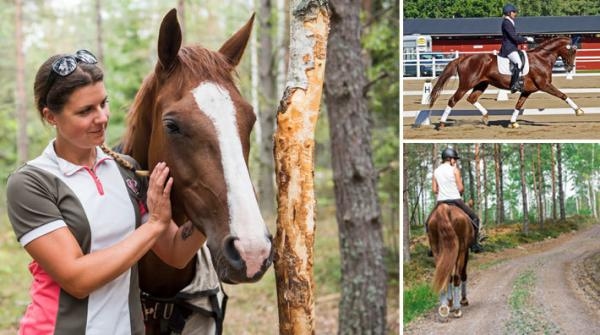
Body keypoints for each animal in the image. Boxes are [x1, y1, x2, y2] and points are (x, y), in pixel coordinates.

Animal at [428, 36, 584, 129]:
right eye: (573, 51)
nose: (570, 67)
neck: (541, 58)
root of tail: (463, 58)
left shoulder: (527, 91)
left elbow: (518, 105)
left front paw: (513, 123)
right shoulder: (544, 85)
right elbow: (563, 95)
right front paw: (578, 111)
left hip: (481, 84)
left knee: (471, 98)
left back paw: (486, 117)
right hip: (466, 84)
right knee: (453, 100)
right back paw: (441, 124)